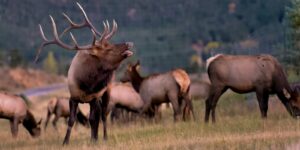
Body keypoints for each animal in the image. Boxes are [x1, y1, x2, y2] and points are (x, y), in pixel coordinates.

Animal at [36, 2, 132, 145]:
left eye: (110, 44)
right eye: (108, 49)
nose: (129, 43)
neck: (87, 84)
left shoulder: (94, 97)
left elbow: (93, 119)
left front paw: (94, 140)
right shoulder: (73, 97)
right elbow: (71, 120)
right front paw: (65, 142)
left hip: (107, 91)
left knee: (103, 115)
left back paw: (104, 137)